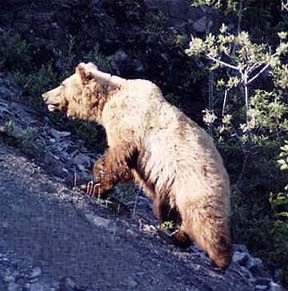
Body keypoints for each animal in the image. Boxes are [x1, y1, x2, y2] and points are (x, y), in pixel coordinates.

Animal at [42, 62, 232, 270]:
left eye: (62, 84)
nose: (45, 95)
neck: (107, 102)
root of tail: (225, 172)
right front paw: (97, 183)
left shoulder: (130, 126)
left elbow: (118, 157)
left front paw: (94, 183)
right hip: (174, 189)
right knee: (174, 212)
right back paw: (177, 235)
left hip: (195, 183)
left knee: (205, 219)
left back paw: (219, 259)